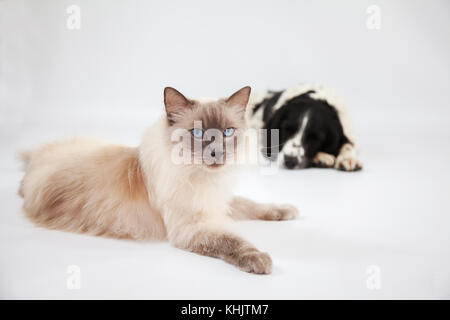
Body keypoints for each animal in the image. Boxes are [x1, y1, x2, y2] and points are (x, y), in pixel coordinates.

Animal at [18, 87, 298, 276]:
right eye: (198, 133)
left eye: (227, 132)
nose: (216, 153)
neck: (202, 178)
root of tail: (39, 156)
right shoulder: (192, 226)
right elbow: (232, 241)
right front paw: (259, 259)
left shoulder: (217, 202)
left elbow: (251, 204)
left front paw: (286, 210)